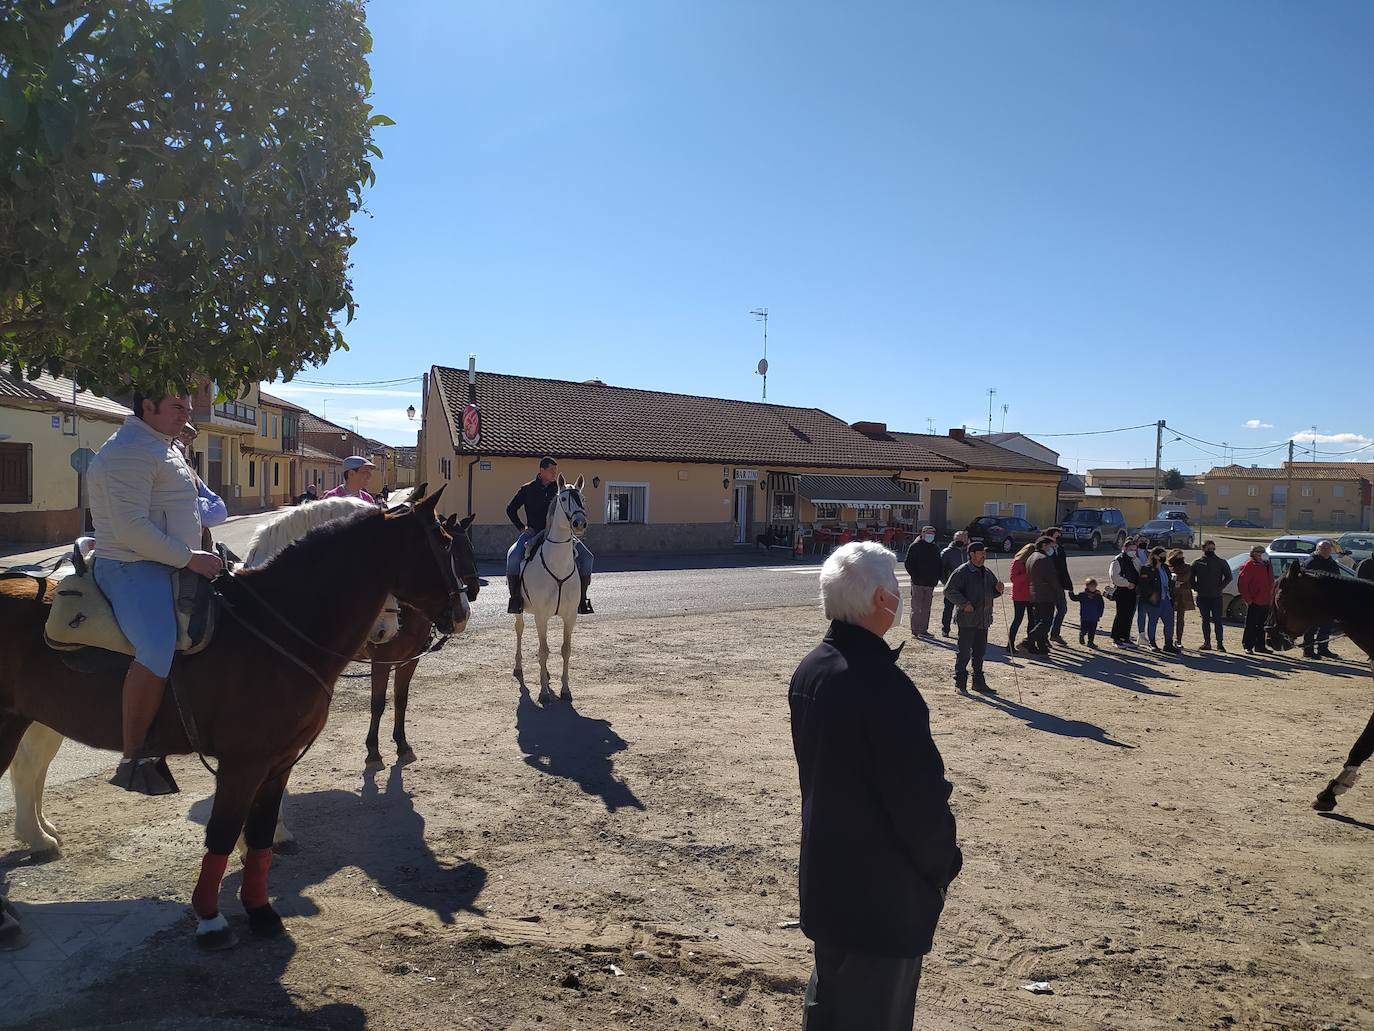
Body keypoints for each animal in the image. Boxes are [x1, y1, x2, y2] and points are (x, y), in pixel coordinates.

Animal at [9, 497, 398, 857]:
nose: (387, 630)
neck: (264, 615)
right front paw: (270, 836)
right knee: (29, 765)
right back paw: (39, 837)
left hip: (45, 717)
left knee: (32, 767)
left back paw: (41, 830)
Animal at [511, 478, 585, 709]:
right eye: (563, 499)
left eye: (582, 497)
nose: (580, 523)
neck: (558, 564)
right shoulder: (541, 616)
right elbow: (543, 651)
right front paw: (543, 692)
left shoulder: (570, 616)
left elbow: (565, 649)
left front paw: (565, 690)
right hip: (520, 611)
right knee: (519, 630)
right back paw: (518, 667)